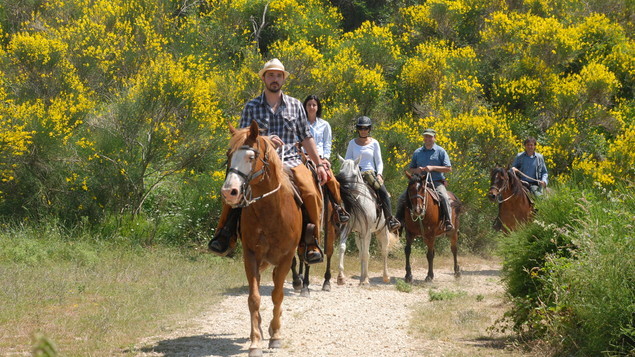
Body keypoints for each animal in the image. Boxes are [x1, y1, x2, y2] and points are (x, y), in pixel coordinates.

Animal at [222, 120, 304, 356]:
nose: (229, 192)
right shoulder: (250, 256)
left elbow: (277, 295)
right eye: (229, 155)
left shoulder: (286, 257)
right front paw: (255, 341)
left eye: (251, 156)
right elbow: (254, 298)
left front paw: (275, 335)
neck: (270, 211)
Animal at [336, 156, 396, 284]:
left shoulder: (367, 231)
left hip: (382, 232)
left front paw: (365, 280)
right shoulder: (346, 228)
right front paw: (341, 277)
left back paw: (385, 276)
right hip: (358, 235)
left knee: (384, 251)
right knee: (362, 253)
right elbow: (343, 248)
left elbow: (366, 254)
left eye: (354, 176)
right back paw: (363, 276)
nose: (344, 191)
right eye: (341, 173)